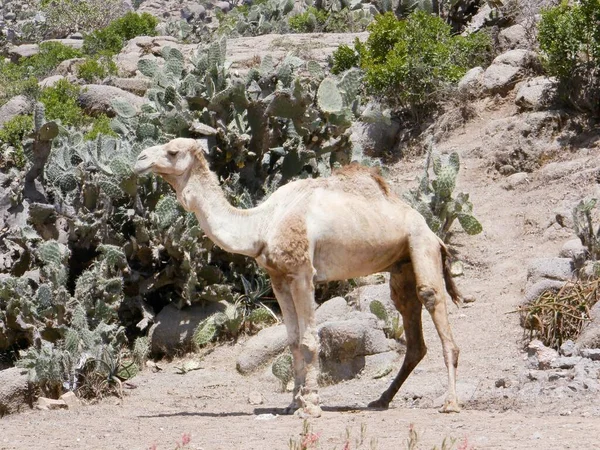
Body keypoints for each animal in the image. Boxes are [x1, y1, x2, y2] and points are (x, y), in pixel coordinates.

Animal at [134, 135, 462, 416]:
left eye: (172, 151)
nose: (139, 159)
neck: (262, 225)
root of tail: (432, 230)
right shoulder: (278, 277)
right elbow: (291, 340)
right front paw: (293, 404)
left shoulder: (303, 272)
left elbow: (308, 339)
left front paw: (312, 405)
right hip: (401, 264)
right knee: (410, 323)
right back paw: (381, 400)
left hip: (421, 243)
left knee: (431, 298)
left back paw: (450, 402)